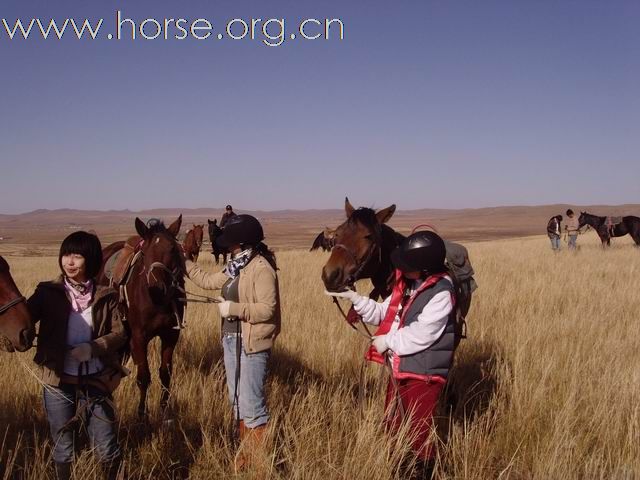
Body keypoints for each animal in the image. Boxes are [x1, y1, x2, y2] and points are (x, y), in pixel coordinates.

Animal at [97, 216, 185, 418]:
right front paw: (142, 416)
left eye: (173, 249)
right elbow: (144, 376)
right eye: (144, 253)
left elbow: (165, 374)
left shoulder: (171, 336)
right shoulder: (139, 337)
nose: (158, 289)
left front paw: (165, 412)